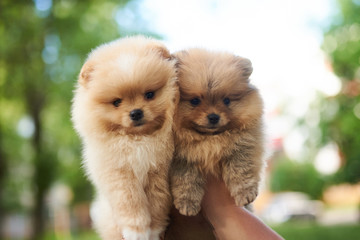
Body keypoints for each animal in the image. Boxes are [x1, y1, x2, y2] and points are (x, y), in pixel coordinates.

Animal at [71, 36, 178, 240]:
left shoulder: (158, 172)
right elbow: (130, 203)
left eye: (149, 94)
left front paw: (153, 231)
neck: (138, 140)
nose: (136, 113)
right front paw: (136, 232)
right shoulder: (120, 174)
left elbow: (157, 204)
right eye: (116, 102)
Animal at [169, 48, 264, 216]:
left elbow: (240, 170)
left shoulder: (243, 146)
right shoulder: (181, 158)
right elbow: (186, 179)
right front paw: (187, 204)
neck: (210, 138)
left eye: (226, 100)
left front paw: (246, 194)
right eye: (195, 101)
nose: (213, 116)